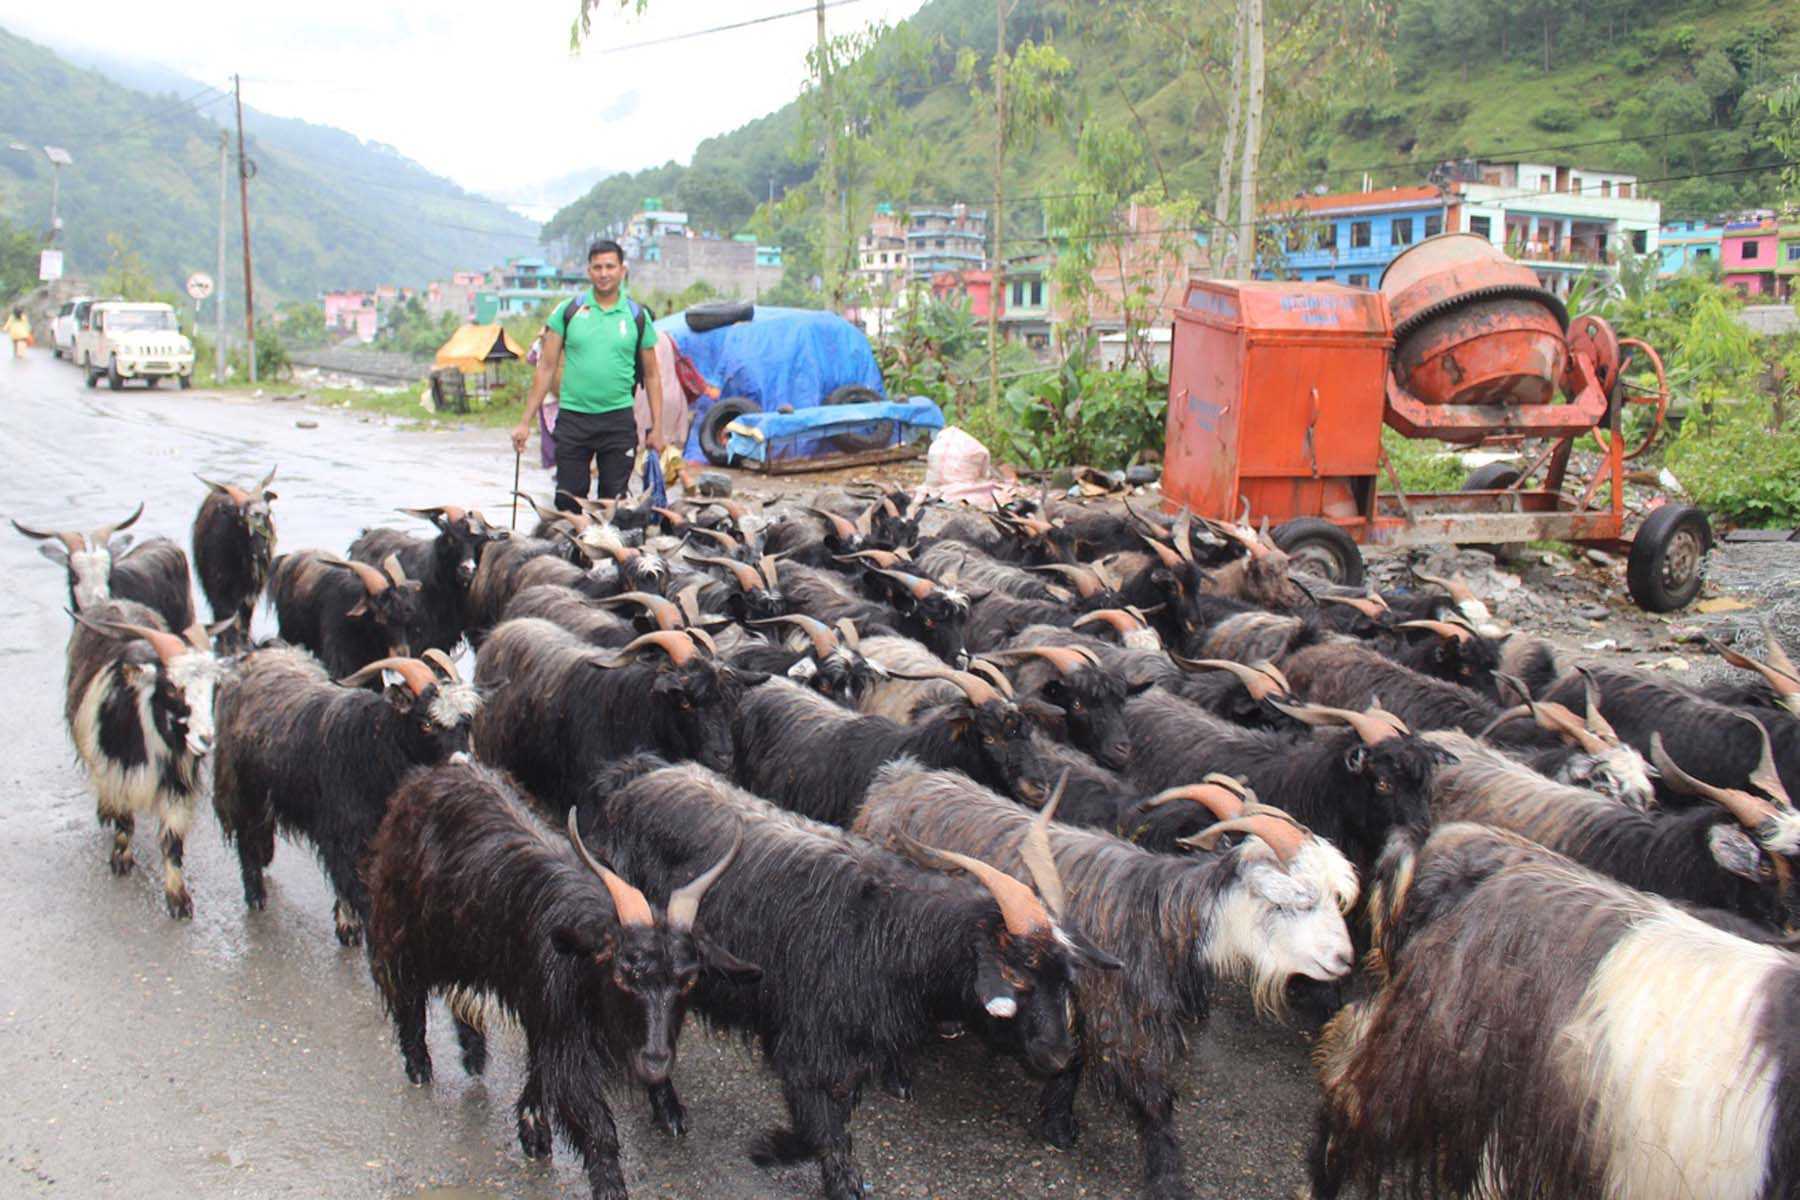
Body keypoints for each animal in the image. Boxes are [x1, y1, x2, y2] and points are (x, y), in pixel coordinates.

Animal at [211, 651, 482, 942]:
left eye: (466, 721)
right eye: (426, 723)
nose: (461, 764)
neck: (373, 742)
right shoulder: (342, 832)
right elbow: (351, 881)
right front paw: (354, 929)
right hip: (243, 789)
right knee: (246, 836)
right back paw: (256, 897)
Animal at [365, 766, 752, 1200]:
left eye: (688, 981)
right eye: (624, 974)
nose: (655, 1061)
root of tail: (428, 777)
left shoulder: (547, 1013)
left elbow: (541, 1071)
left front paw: (534, 1130)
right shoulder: (565, 1036)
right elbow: (592, 1120)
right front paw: (609, 1187)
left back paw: (474, 1053)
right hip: (407, 928)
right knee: (404, 989)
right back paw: (419, 1066)